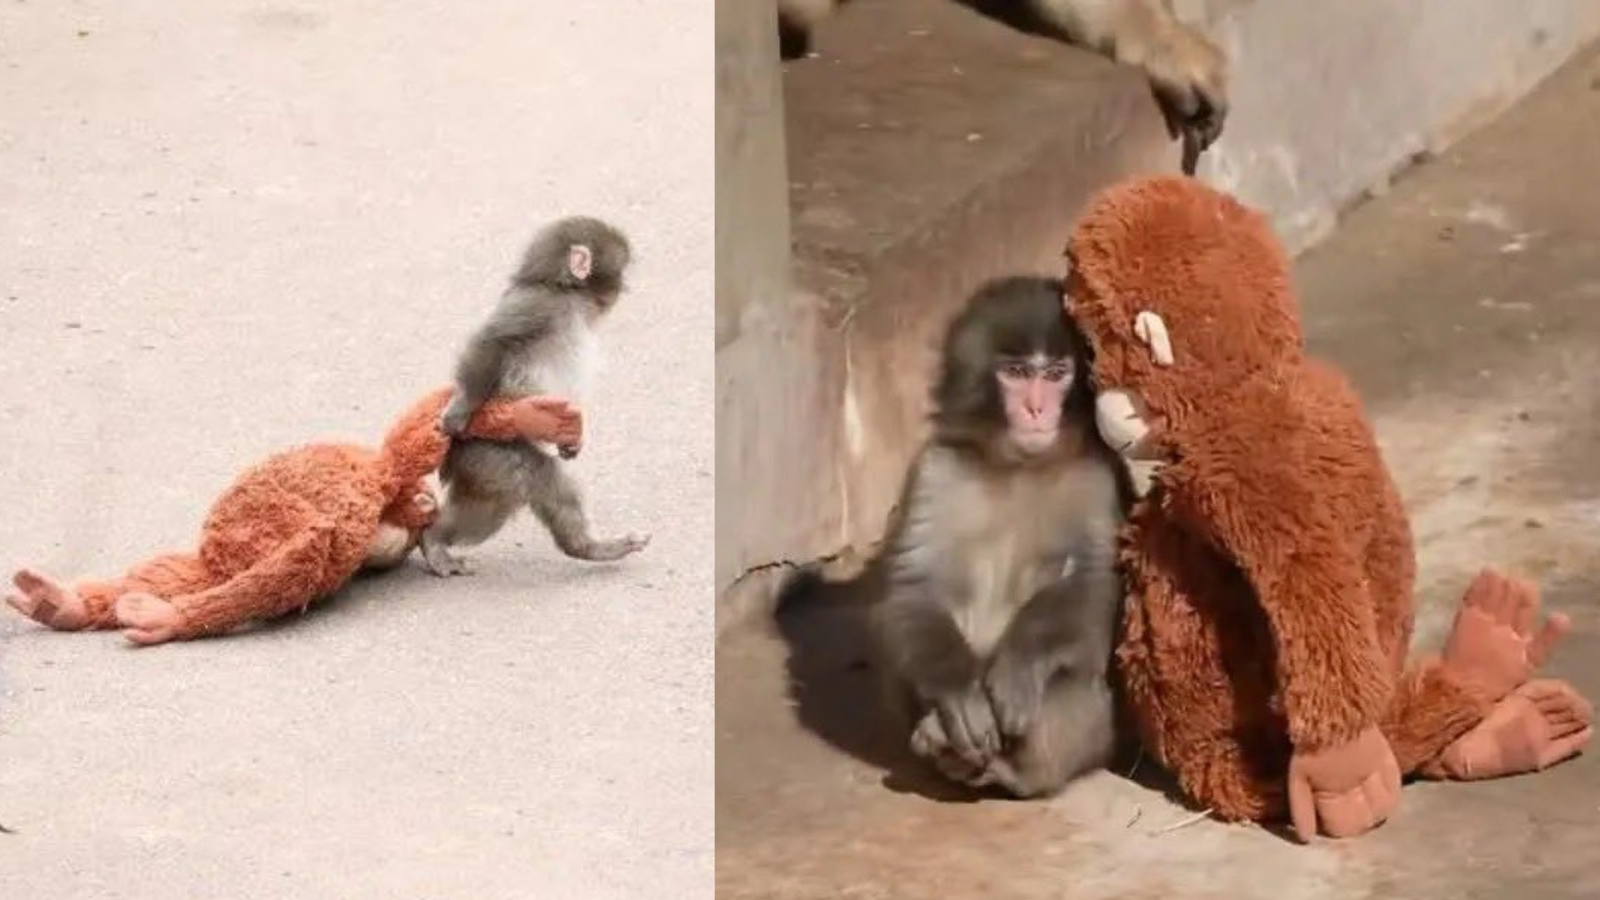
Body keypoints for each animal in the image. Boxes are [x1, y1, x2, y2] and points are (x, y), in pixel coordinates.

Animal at [419, 216, 651, 576]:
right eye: (622, 270)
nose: (624, 288)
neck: (565, 292)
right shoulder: (539, 305)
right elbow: (493, 341)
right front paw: (461, 408)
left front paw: (571, 442)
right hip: (489, 452)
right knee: (538, 479)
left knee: (495, 507)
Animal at [871, 274, 1126, 798]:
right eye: (1015, 372)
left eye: (1056, 374)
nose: (1036, 408)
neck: (1018, 466)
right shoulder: (936, 470)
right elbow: (914, 587)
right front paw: (958, 691)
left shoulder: (1096, 477)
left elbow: (1094, 585)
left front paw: (1019, 666)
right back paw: (939, 737)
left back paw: (1014, 771)